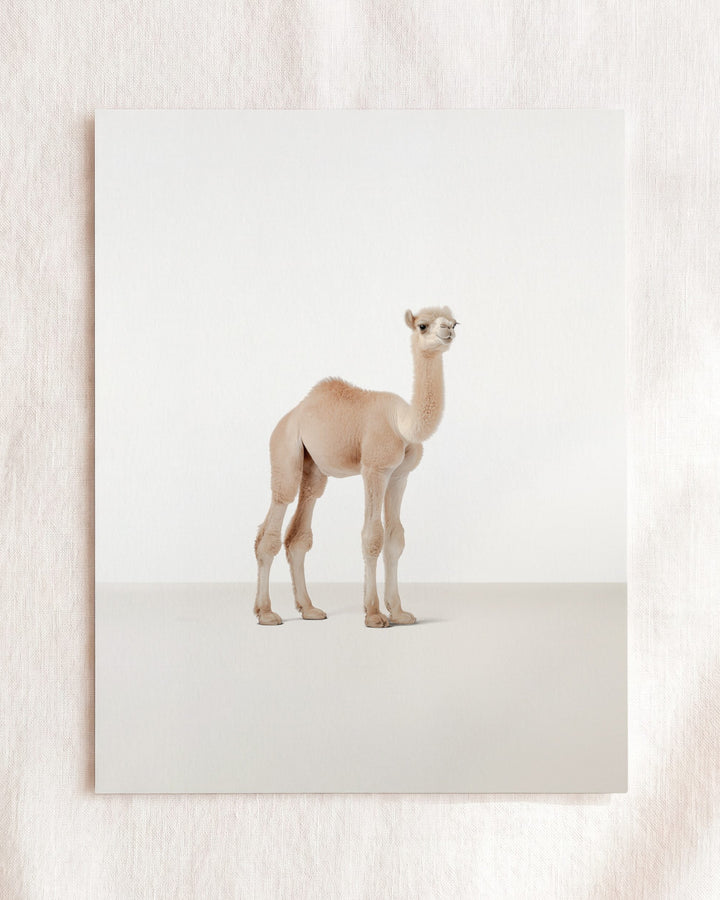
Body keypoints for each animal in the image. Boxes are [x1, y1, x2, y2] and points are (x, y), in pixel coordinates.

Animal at [253, 306, 457, 627]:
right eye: (423, 325)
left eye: (455, 322)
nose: (447, 330)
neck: (402, 423)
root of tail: (291, 415)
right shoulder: (374, 468)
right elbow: (372, 535)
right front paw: (373, 614)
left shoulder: (399, 475)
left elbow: (395, 538)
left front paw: (399, 612)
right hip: (284, 449)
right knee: (274, 518)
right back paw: (266, 613)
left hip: (314, 468)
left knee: (300, 530)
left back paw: (309, 609)